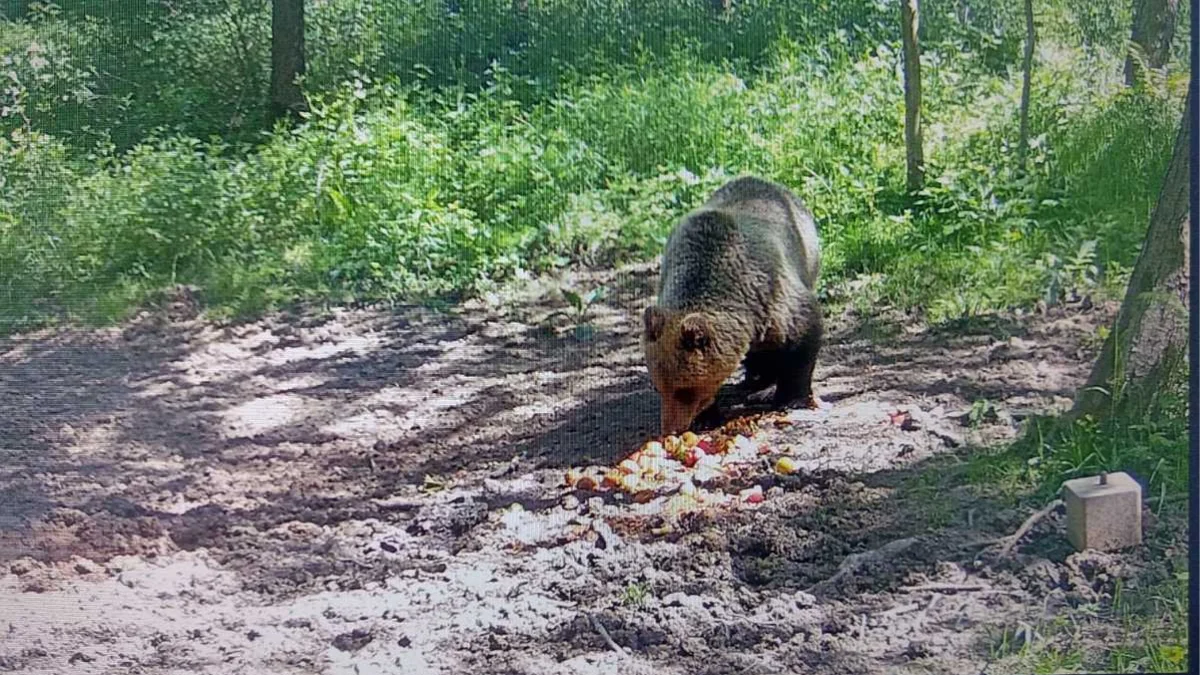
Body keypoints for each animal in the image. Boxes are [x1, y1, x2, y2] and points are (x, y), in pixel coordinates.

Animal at [638, 176, 825, 432]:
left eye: (684, 390)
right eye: (659, 387)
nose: (671, 429)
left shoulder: (774, 297)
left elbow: (802, 339)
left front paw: (791, 397)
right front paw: (706, 417)